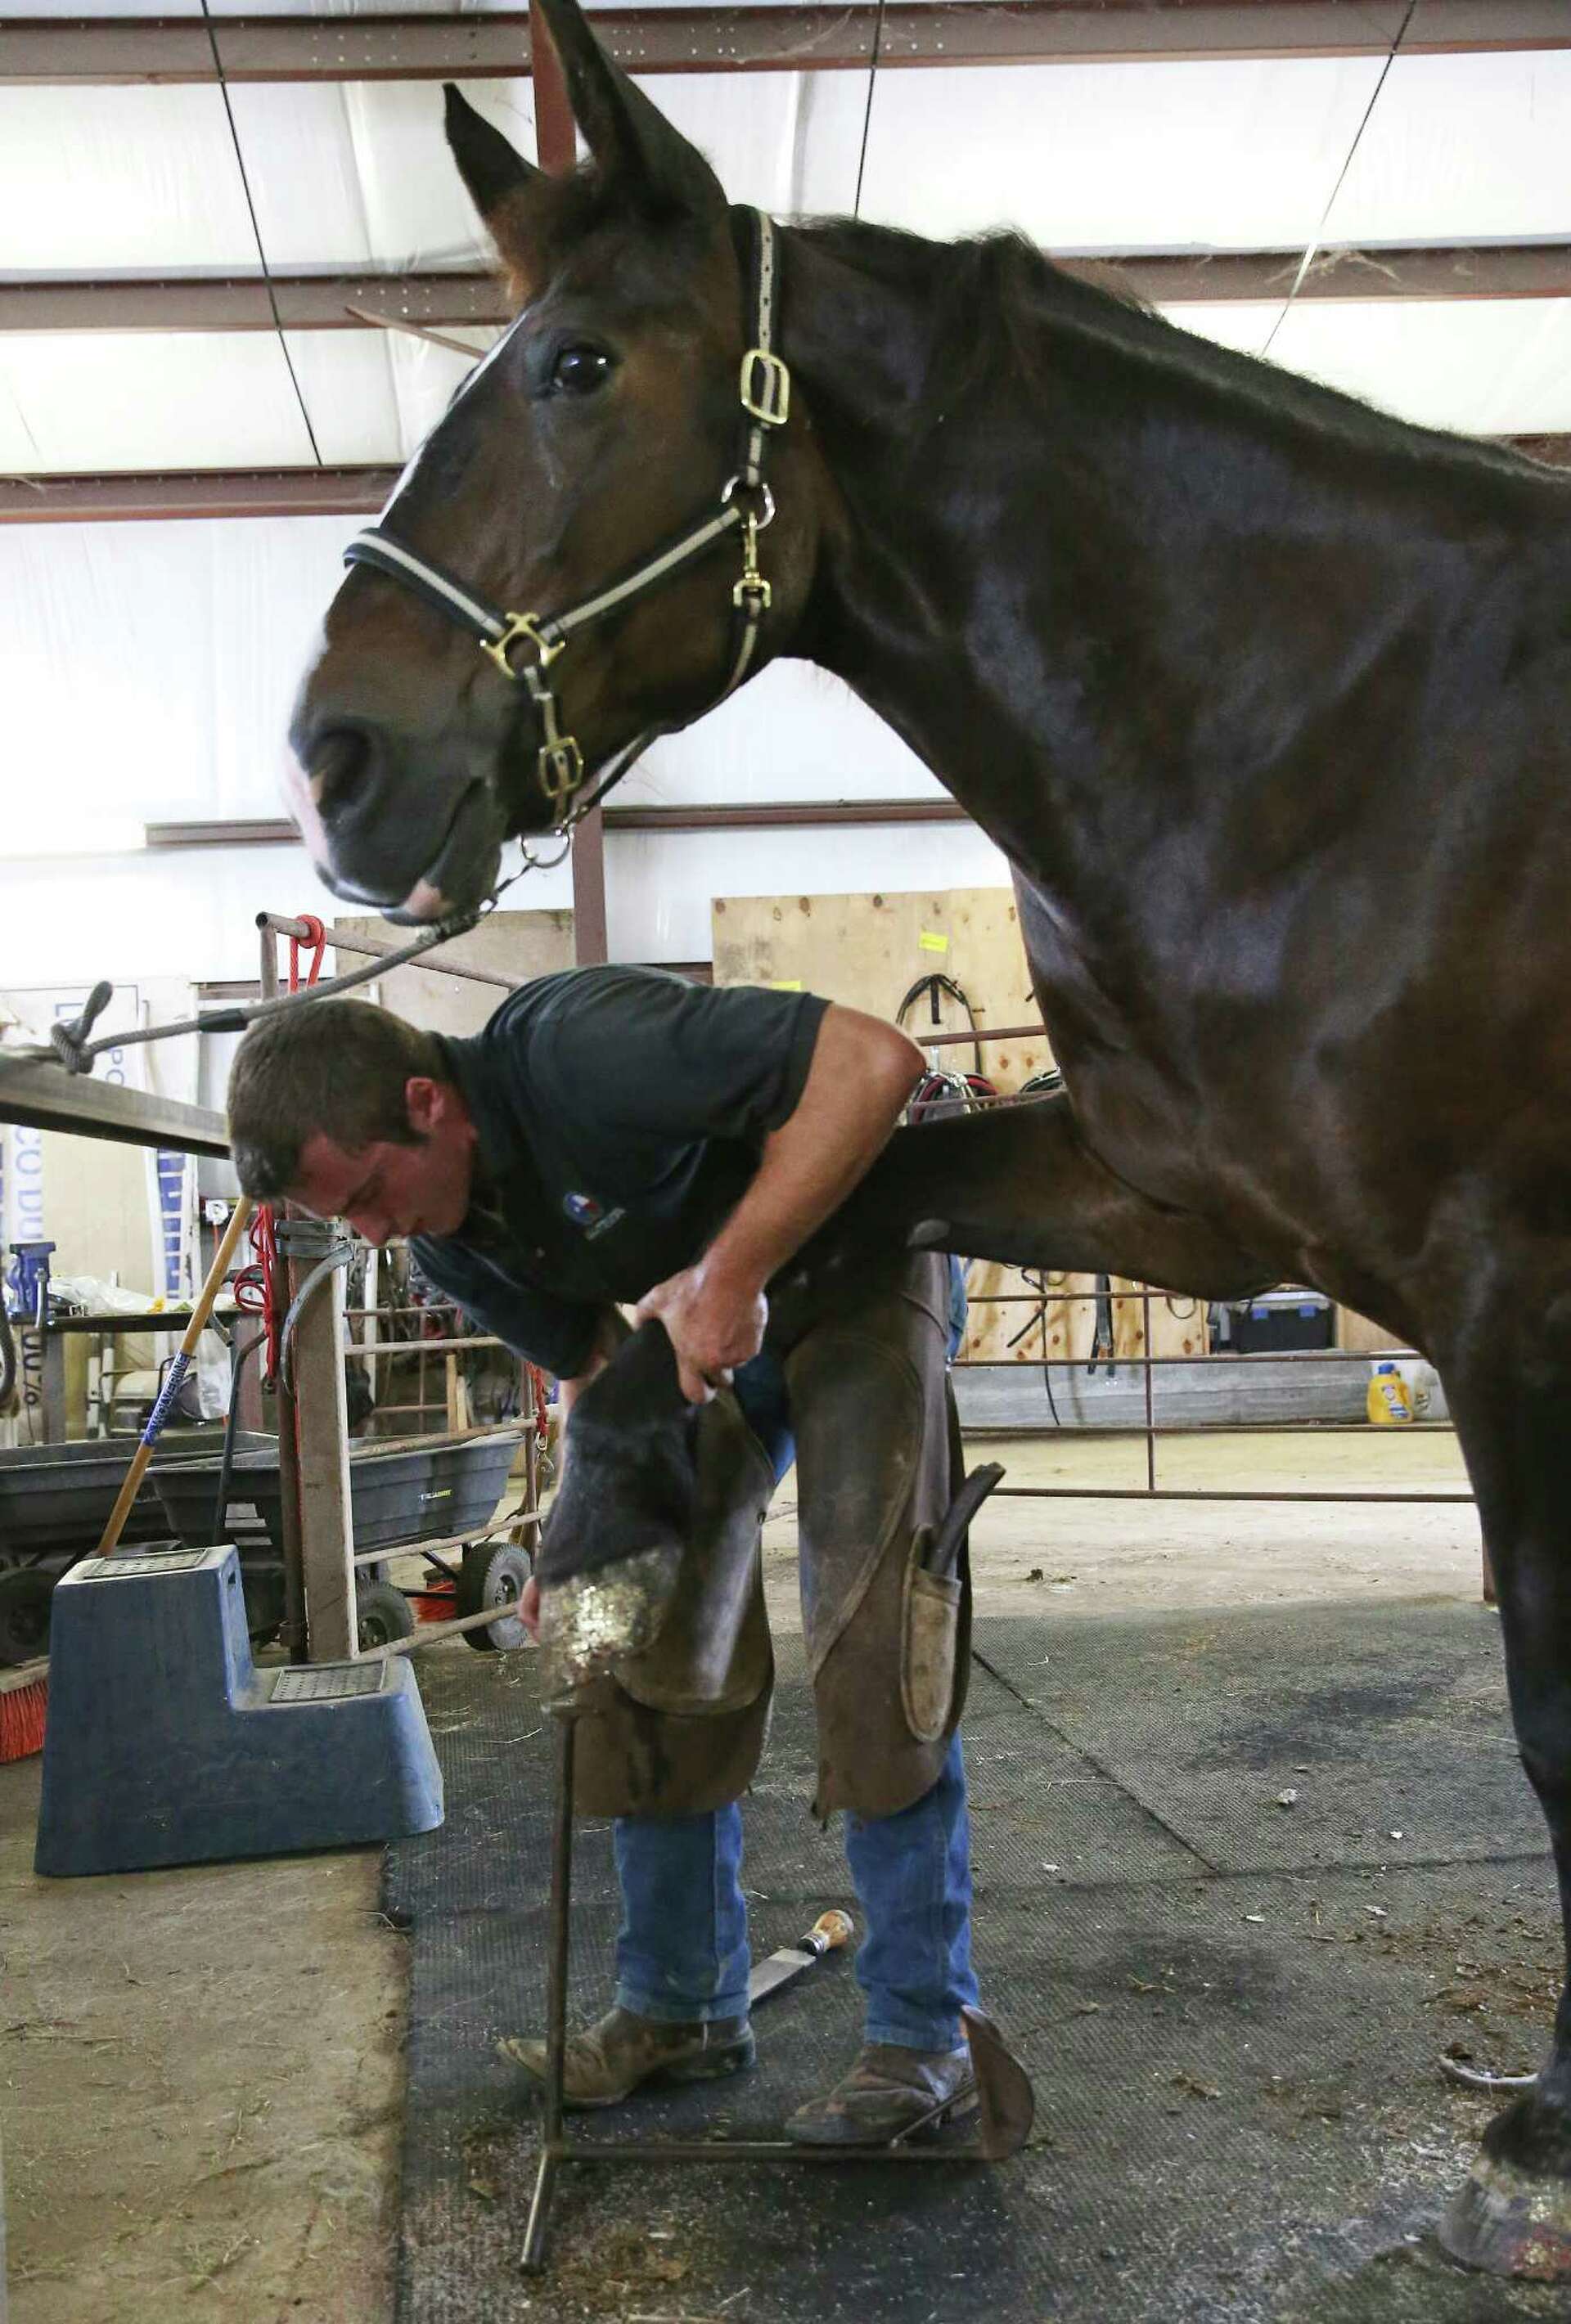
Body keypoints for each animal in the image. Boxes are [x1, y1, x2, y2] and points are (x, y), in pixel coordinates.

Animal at [288, 4, 1571, 2268]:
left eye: (575, 365)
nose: (332, 753)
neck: (1336, 725)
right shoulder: (1171, 1187)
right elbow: (847, 1196)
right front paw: (637, 1469)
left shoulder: (1515, 1287)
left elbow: (1554, 1703)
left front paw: (1550, 2142)